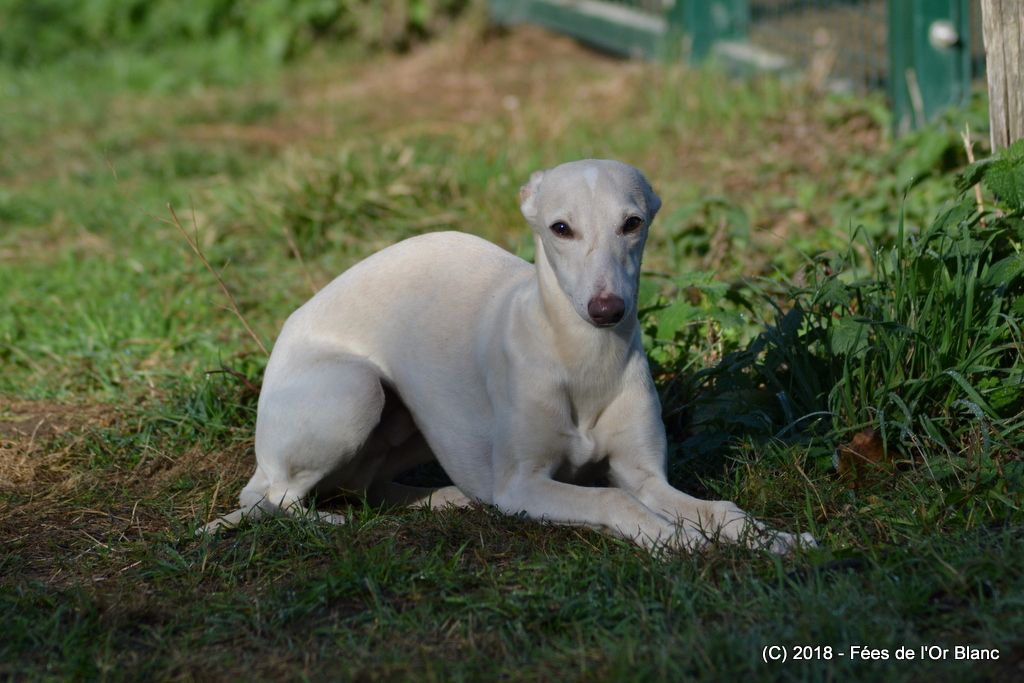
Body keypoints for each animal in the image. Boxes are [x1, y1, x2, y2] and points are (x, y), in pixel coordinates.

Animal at [203, 160, 815, 557]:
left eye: (632, 222)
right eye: (560, 228)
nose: (606, 309)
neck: (580, 360)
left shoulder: (642, 472)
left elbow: (717, 509)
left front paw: (773, 537)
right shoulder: (525, 483)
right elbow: (616, 503)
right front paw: (676, 540)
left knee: (366, 486)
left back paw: (447, 498)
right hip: (355, 391)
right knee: (273, 499)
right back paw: (329, 521)